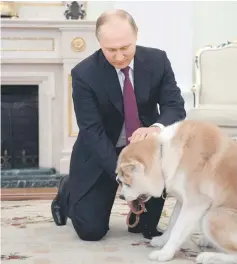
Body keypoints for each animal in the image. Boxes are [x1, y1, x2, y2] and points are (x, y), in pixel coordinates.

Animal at [115, 120, 237, 264]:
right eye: (119, 181)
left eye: (126, 183)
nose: (121, 197)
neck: (163, 155)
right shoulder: (181, 200)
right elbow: (173, 222)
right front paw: (162, 240)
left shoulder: (194, 204)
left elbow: (178, 230)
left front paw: (165, 253)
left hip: (211, 217)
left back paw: (209, 256)